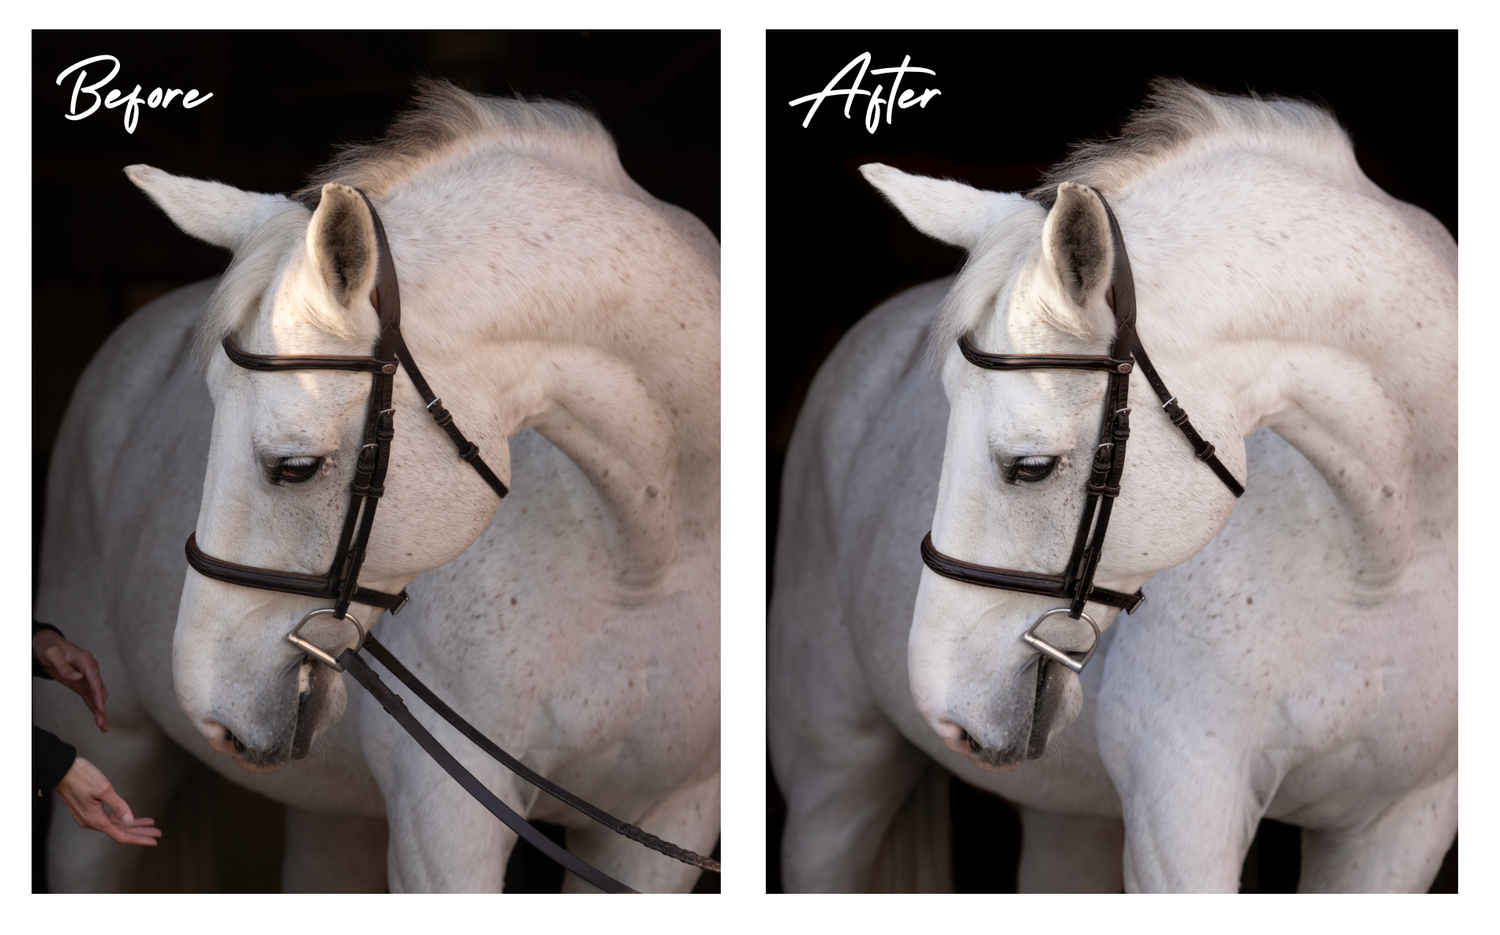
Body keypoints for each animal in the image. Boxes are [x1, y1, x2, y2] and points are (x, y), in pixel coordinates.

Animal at [33, 80, 720, 893]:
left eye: (295, 467)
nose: (211, 712)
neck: (645, 559)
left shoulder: (668, 820)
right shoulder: (445, 825)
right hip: (116, 759)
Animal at [769, 80, 1455, 893]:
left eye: (1030, 466)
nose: (943, 711)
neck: (1382, 560)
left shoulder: (1400, 828)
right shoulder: (1183, 817)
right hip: (836, 777)